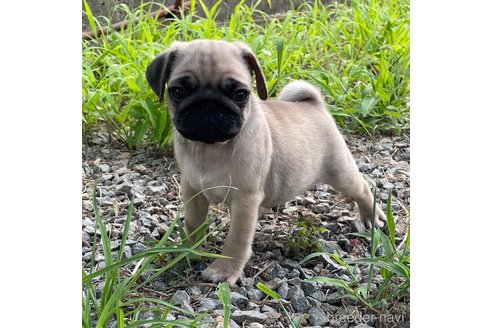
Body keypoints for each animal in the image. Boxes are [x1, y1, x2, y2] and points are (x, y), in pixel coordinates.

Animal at [145, 39, 384, 284]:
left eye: (240, 94)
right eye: (178, 92)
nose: (208, 104)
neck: (210, 148)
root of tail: (314, 104)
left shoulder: (245, 200)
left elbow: (237, 240)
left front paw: (224, 270)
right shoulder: (193, 191)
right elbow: (193, 224)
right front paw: (190, 252)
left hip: (340, 173)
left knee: (362, 188)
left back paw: (372, 217)